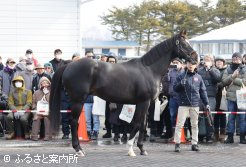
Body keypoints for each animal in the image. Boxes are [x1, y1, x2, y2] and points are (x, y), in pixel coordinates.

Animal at [49, 30, 198, 157]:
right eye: (184, 44)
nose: (195, 58)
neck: (149, 69)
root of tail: (69, 65)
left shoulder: (145, 104)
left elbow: (143, 124)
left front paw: (141, 149)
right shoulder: (143, 102)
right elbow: (138, 124)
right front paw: (131, 149)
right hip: (78, 100)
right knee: (74, 122)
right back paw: (78, 149)